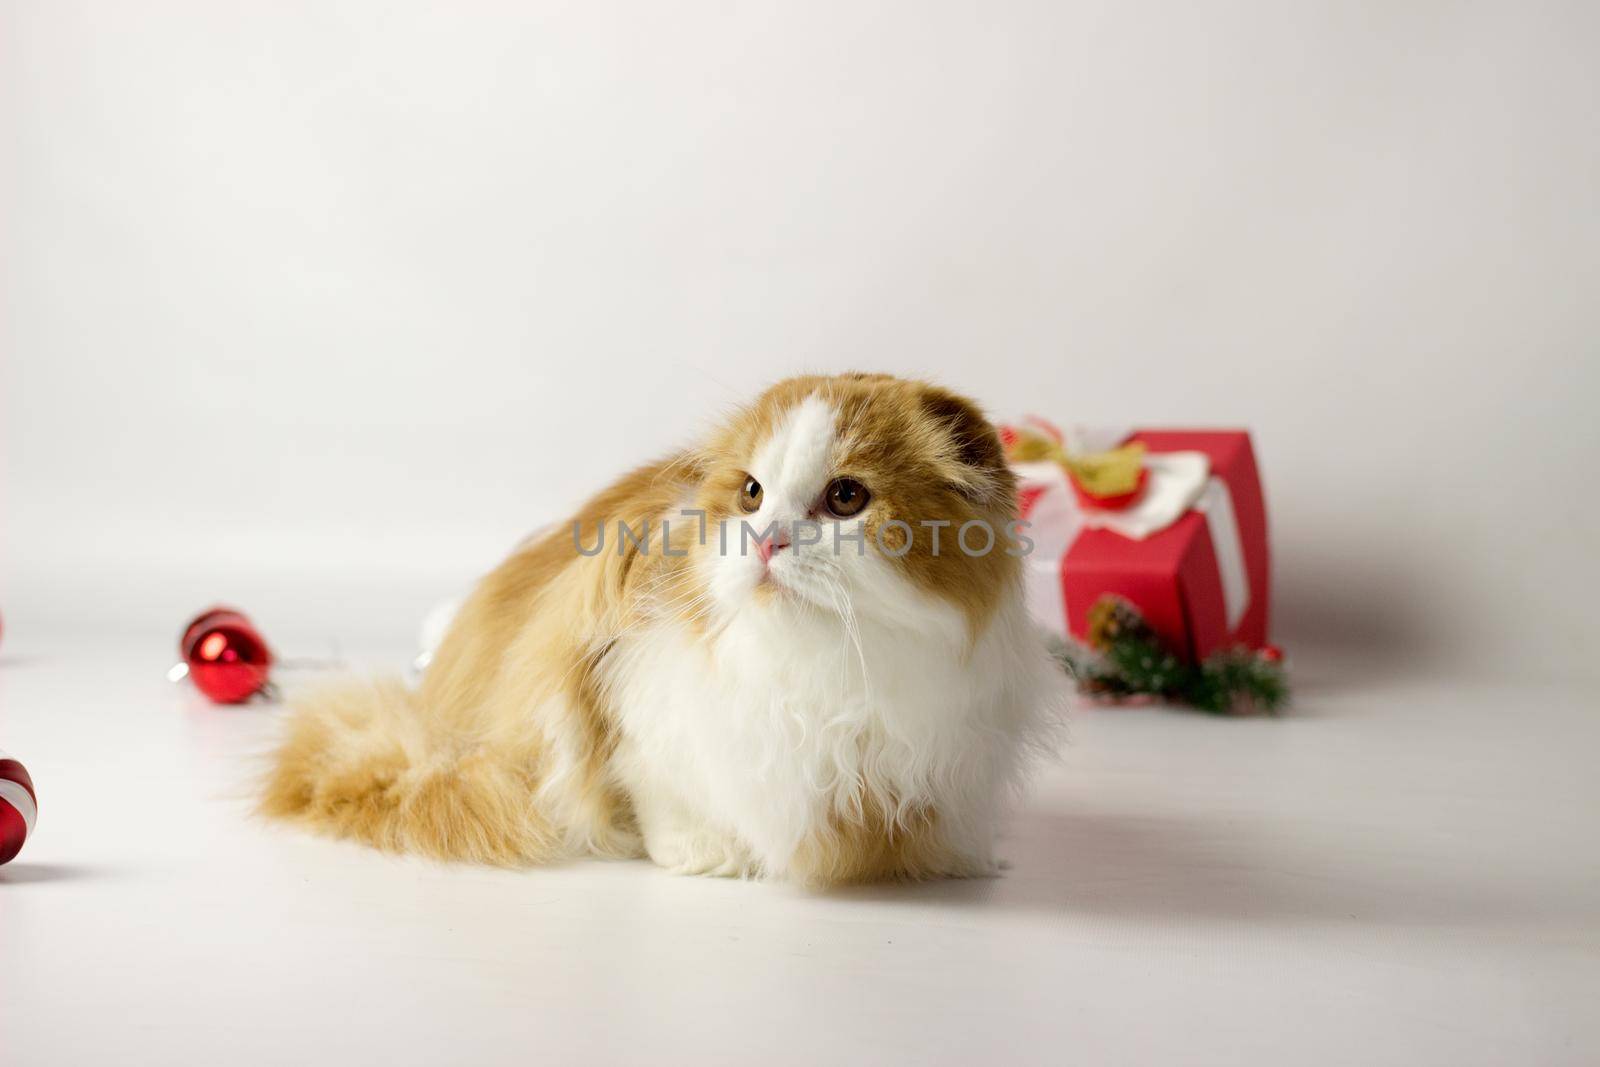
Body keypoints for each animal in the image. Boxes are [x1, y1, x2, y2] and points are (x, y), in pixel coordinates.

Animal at [262, 375, 1062, 883]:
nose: (766, 540)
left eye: (846, 497)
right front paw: (707, 855)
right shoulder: (635, 715)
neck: (823, 662)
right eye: (752, 494)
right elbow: (664, 796)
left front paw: (963, 859)